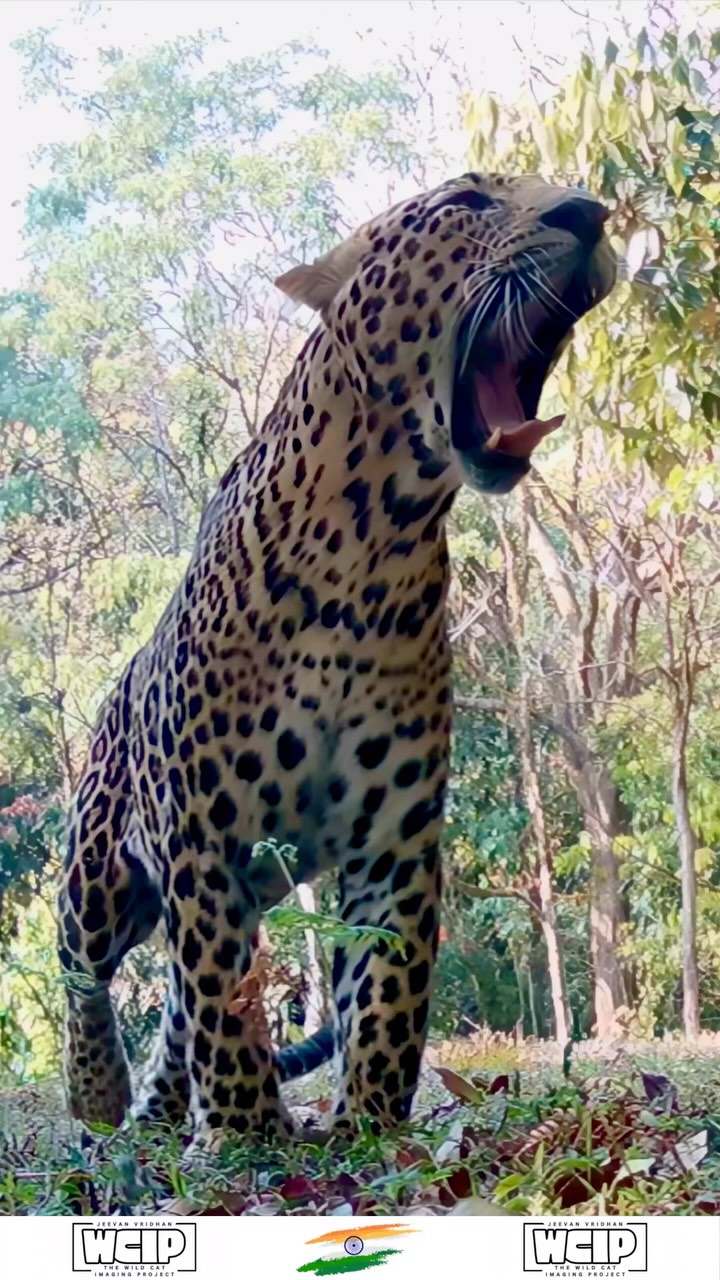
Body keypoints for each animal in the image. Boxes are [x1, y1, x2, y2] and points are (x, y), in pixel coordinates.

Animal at [57, 171, 616, 1148]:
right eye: (466, 201)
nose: (590, 212)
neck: (376, 535)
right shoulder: (203, 834)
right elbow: (223, 995)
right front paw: (245, 1131)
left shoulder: (394, 840)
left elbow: (385, 989)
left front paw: (369, 1123)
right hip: (100, 867)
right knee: (89, 972)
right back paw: (100, 1093)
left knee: (172, 1009)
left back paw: (161, 1119)